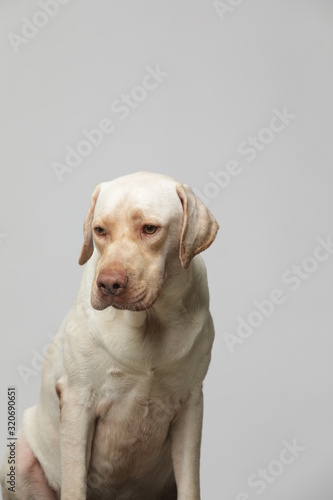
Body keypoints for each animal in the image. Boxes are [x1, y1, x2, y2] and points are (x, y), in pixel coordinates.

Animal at [0, 170, 218, 498]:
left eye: (149, 229)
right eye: (100, 230)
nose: (109, 284)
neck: (149, 324)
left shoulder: (191, 405)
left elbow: (190, 485)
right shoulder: (78, 402)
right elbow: (74, 484)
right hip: (18, 457)